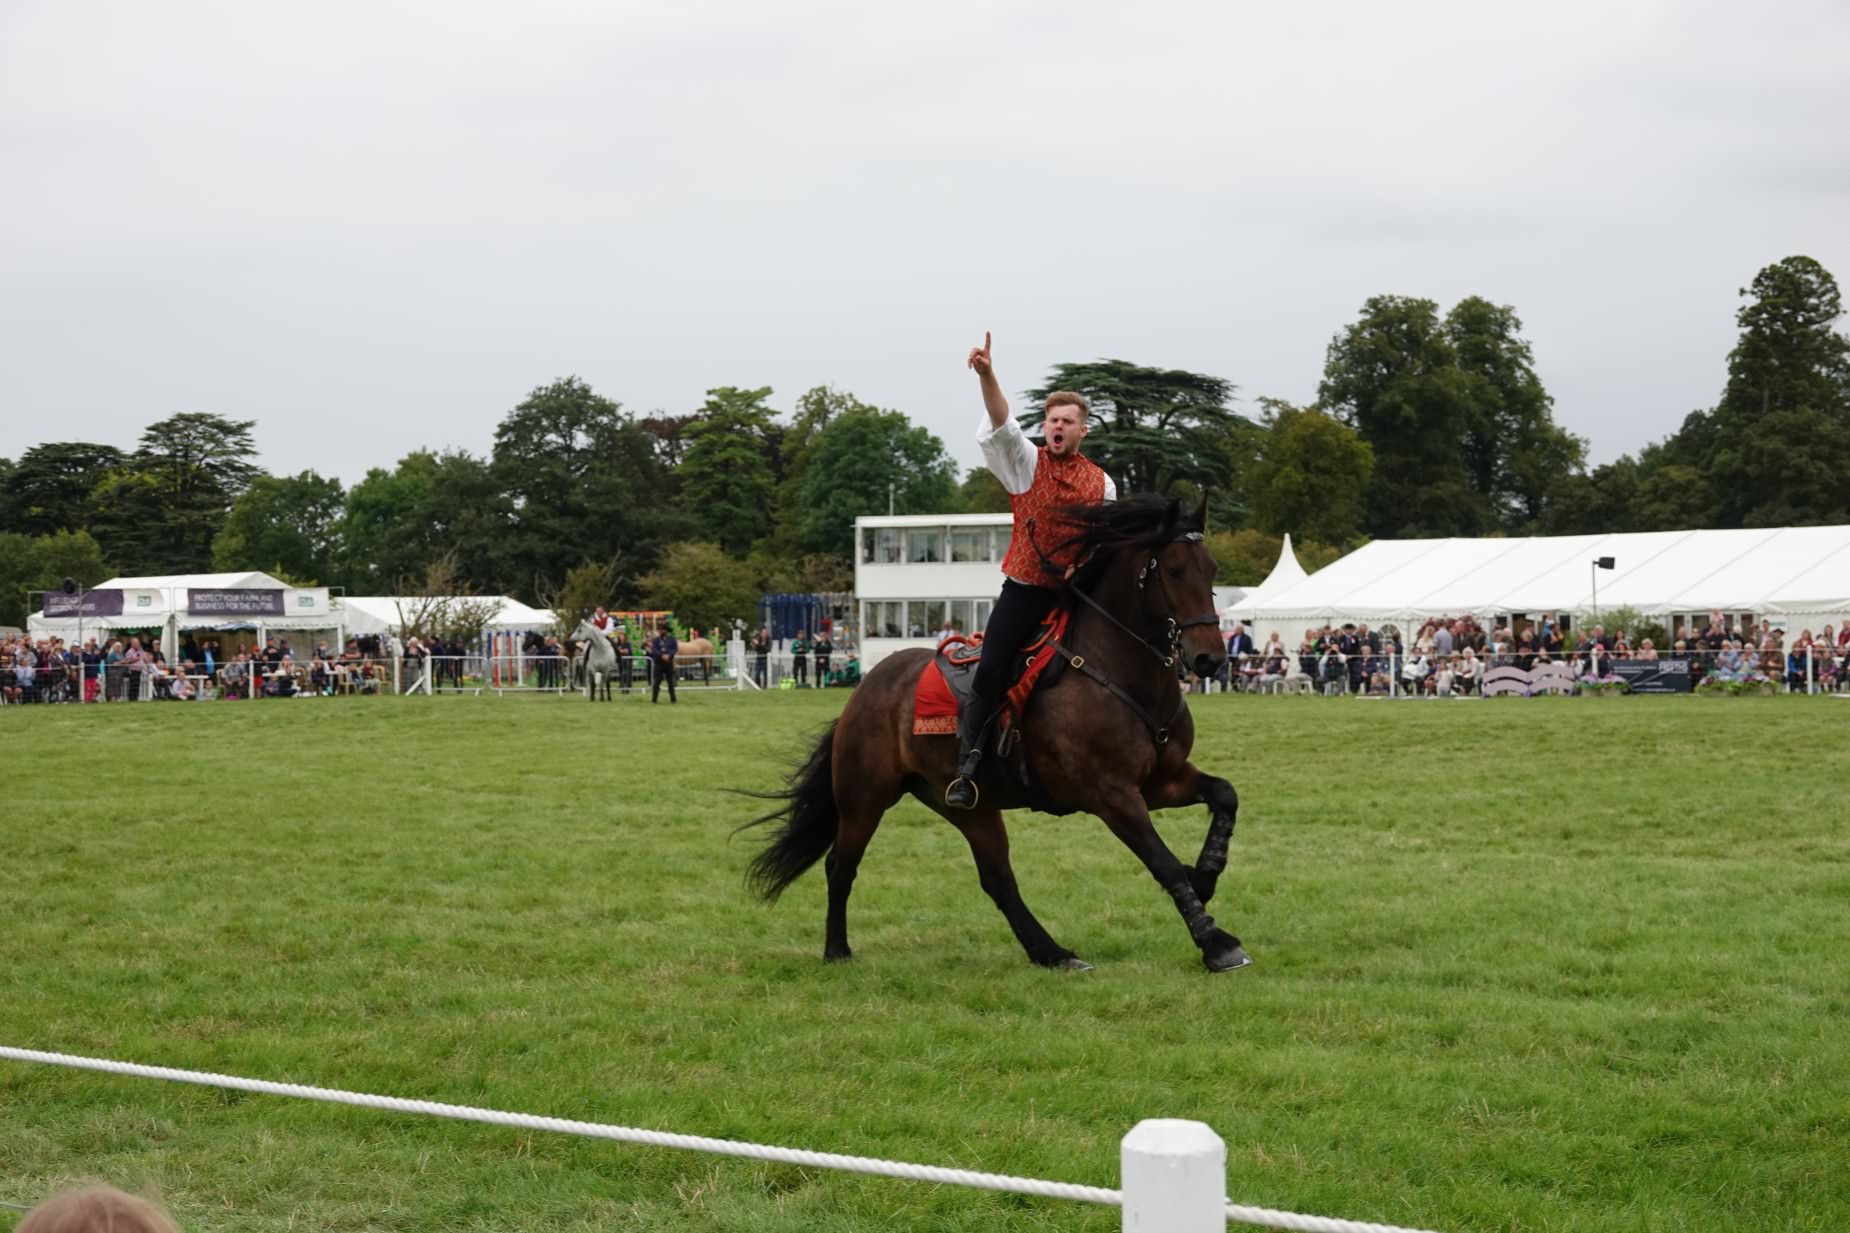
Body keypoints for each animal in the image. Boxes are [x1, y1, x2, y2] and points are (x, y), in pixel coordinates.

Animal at [740, 494, 1247, 972]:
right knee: (841, 866)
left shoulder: (1161, 782)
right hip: (864, 798)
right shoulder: (1112, 795)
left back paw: (1051, 953)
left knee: (998, 880)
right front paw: (1215, 942)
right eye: (1175, 570)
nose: (1209, 659)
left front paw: (1205, 874)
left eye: (1212, 569)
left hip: (970, 808)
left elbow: (1225, 795)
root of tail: (866, 687)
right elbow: (1163, 862)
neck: (1118, 672)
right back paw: (837, 949)